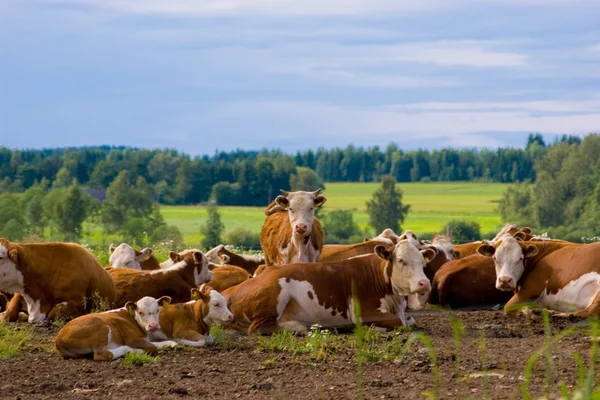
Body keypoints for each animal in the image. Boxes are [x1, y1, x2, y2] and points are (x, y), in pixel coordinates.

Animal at [223, 239, 434, 336]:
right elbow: (397, 322)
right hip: (275, 294)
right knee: (259, 327)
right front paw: (374, 329)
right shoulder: (362, 311)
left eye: (421, 262)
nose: (424, 283)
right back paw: (299, 327)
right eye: (401, 260)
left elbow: (409, 320)